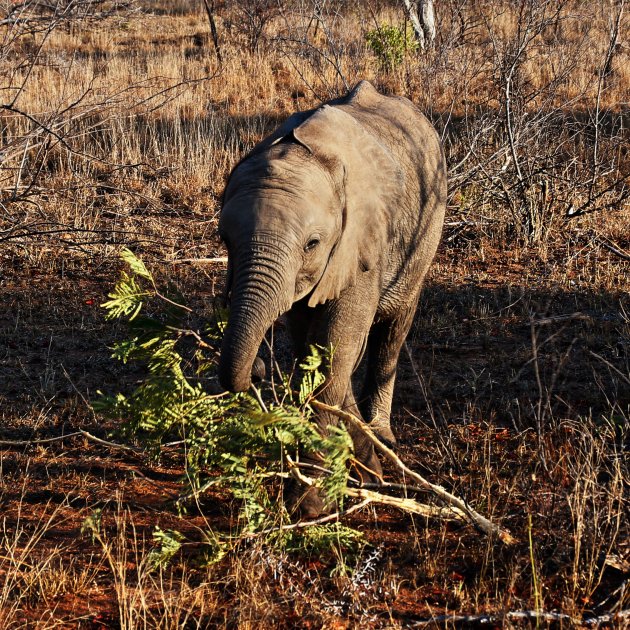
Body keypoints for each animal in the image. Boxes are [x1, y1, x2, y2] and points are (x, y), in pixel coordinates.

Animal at [220, 79, 446, 516]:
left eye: (312, 243)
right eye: (225, 240)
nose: (258, 369)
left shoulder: (359, 242)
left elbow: (333, 352)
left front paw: (310, 505)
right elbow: (313, 350)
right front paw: (363, 467)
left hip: (427, 228)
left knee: (392, 334)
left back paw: (383, 436)